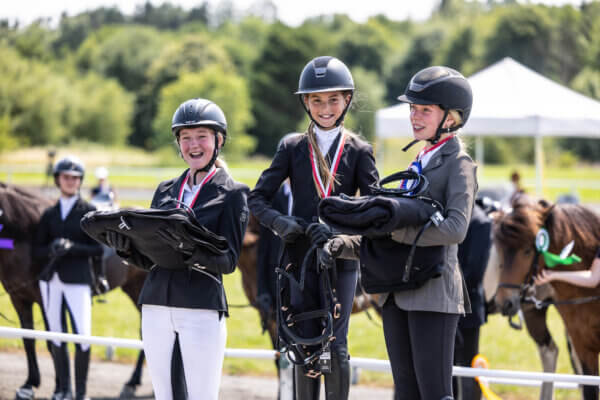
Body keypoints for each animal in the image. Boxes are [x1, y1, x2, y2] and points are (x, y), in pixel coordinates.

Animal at [0, 183, 149, 398]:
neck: (25, 235)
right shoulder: (19, 299)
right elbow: (29, 339)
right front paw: (29, 384)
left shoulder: (44, 300)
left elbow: (53, 341)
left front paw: (58, 388)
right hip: (133, 289)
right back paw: (134, 382)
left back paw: (133, 383)